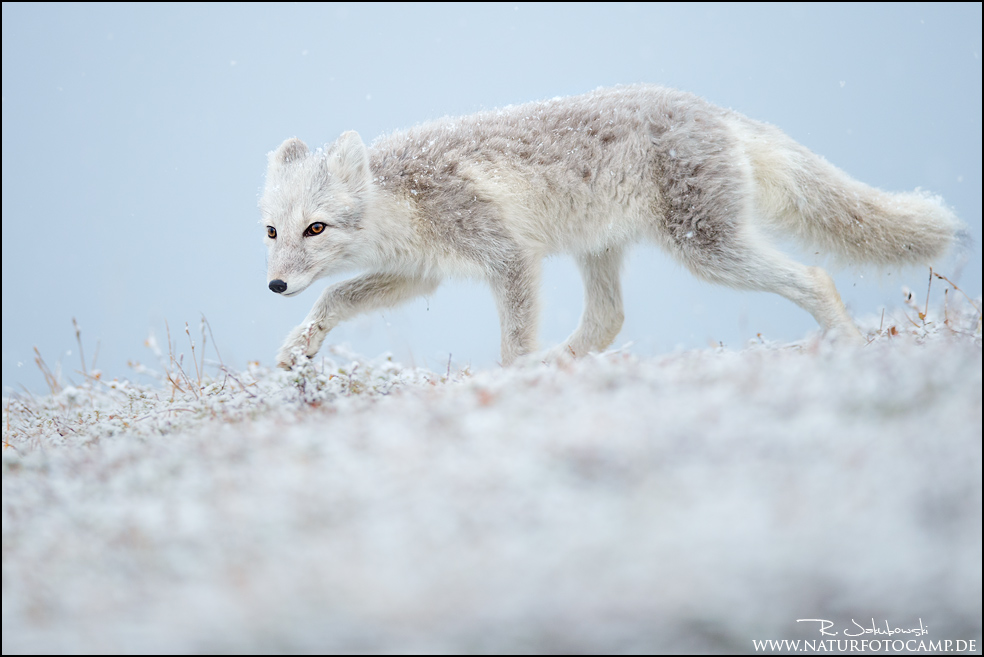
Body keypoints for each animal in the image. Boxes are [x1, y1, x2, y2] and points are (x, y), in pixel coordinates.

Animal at [262, 84, 960, 366]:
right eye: (272, 233)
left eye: (316, 229)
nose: (273, 287)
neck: (405, 199)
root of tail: (713, 109)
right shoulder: (418, 275)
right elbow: (335, 299)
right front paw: (299, 347)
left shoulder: (508, 258)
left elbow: (513, 341)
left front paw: (509, 381)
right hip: (601, 250)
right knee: (607, 322)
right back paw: (560, 367)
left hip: (709, 250)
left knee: (815, 278)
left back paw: (847, 343)